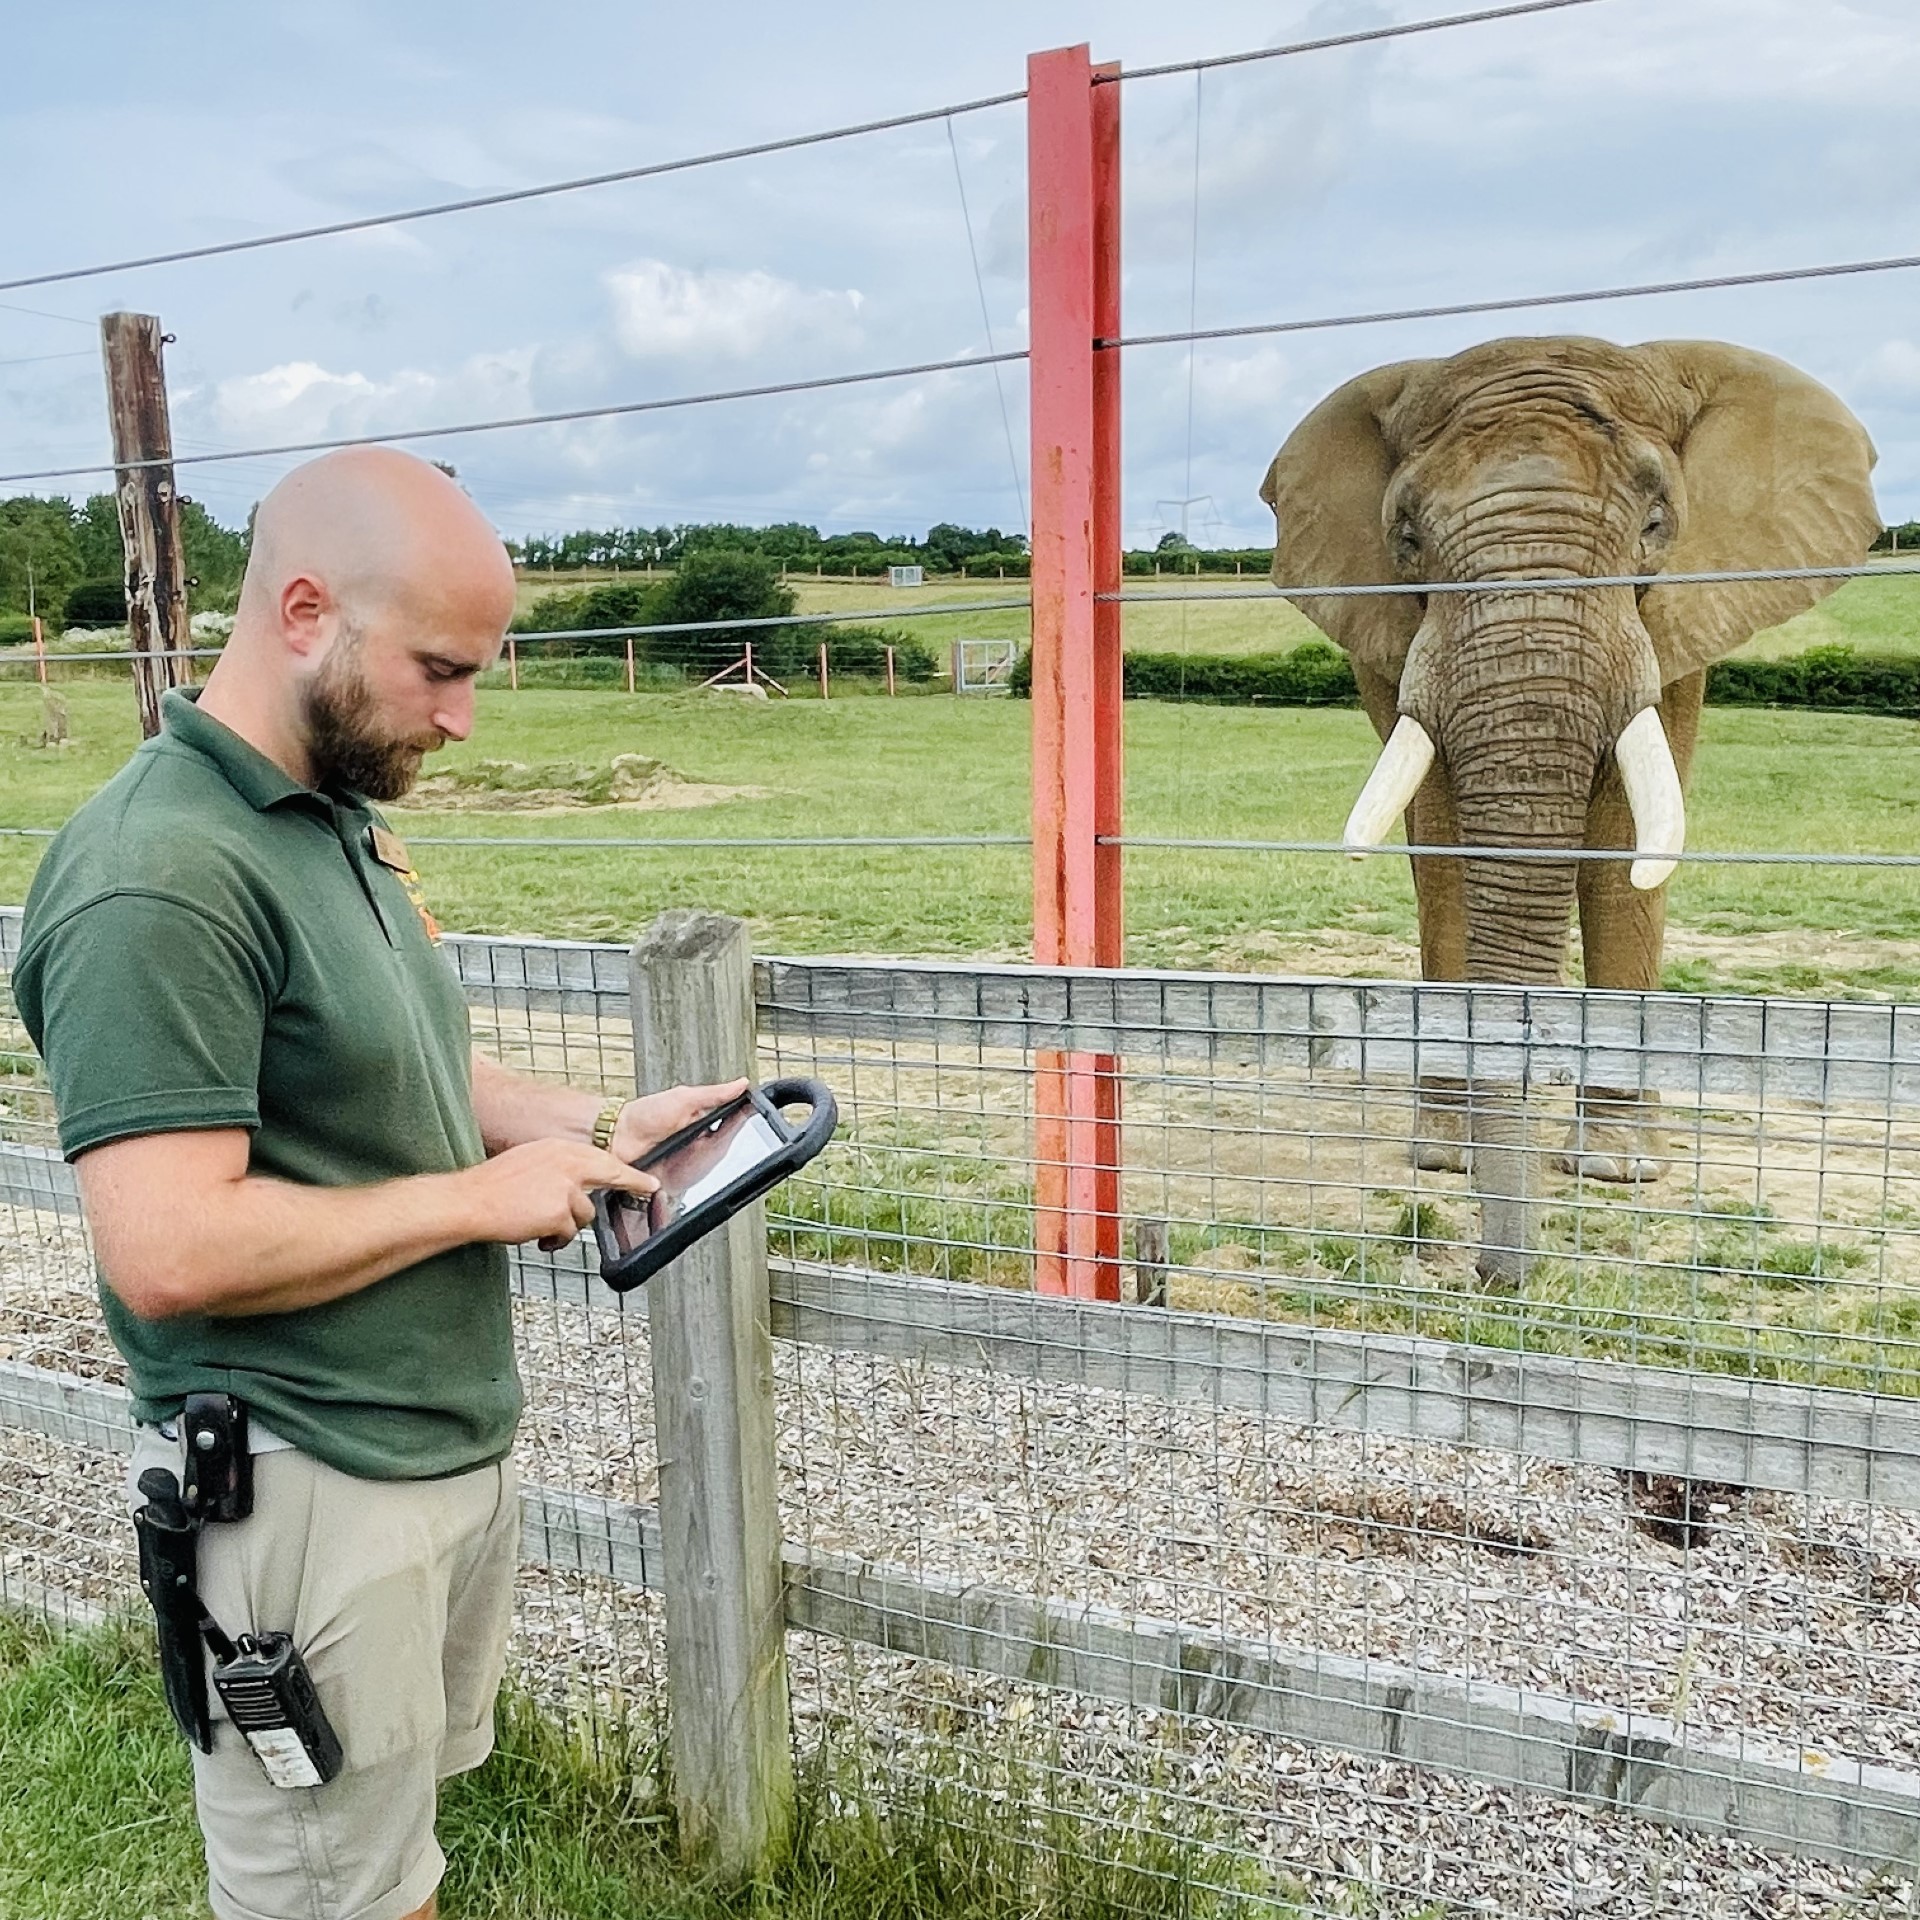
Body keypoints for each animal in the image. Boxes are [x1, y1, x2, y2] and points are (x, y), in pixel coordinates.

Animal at [1259, 337, 1873, 1282]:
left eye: (1656, 524)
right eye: (1407, 538)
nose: (1490, 1277)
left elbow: (1625, 850)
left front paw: (1618, 1169)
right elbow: (1443, 851)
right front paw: (1446, 1154)